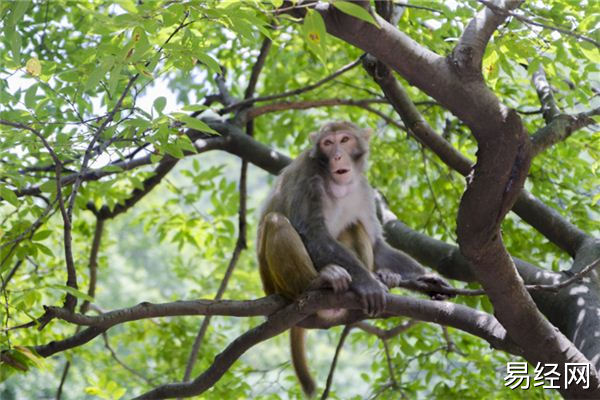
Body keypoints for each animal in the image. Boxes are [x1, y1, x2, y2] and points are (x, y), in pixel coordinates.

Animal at [256, 119, 450, 396]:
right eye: (328, 143)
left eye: (345, 140)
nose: (337, 155)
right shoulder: (307, 176)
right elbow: (312, 232)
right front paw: (368, 284)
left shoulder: (364, 190)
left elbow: (377, 245)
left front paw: (426, 279)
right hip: (274, 285)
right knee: (276, 220)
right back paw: (317, 283)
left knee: (354, 225)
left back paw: (382, 277)